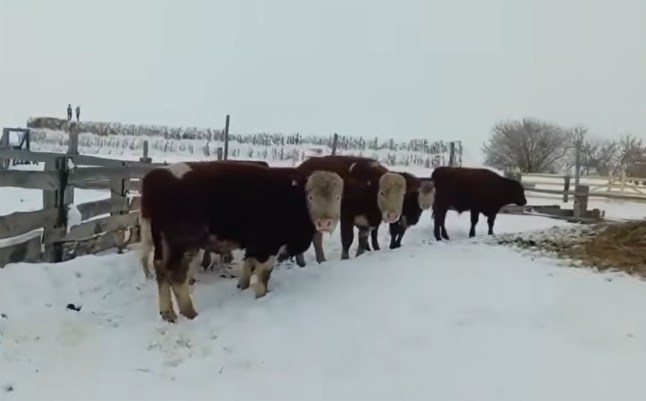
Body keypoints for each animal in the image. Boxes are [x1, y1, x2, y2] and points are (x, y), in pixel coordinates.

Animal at [140, 161, 343, 322]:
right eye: (311, 196)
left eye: (338, 196)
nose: (325, 222)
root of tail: (157, 176)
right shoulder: (267, 246)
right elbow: (263, 274)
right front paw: (261, 296)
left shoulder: (255, 245)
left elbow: (248, 266)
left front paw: (242, 287)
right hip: (184, 244)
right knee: (176, 276)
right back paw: (190, 313)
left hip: (163, 244)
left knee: (160, 269)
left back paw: (168, 312)